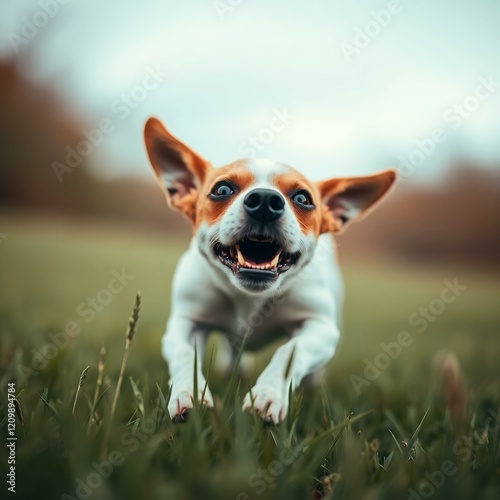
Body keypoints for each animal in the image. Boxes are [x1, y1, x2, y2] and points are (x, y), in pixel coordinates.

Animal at [143, 119, 396, 424]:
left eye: (302, 198)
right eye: (222, 189)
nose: (264, 200)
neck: (249, 298)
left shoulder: (320, 326)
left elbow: (291, 351)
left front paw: (268, 394)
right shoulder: (186, 322)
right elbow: (183, 354)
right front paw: (187, 394)